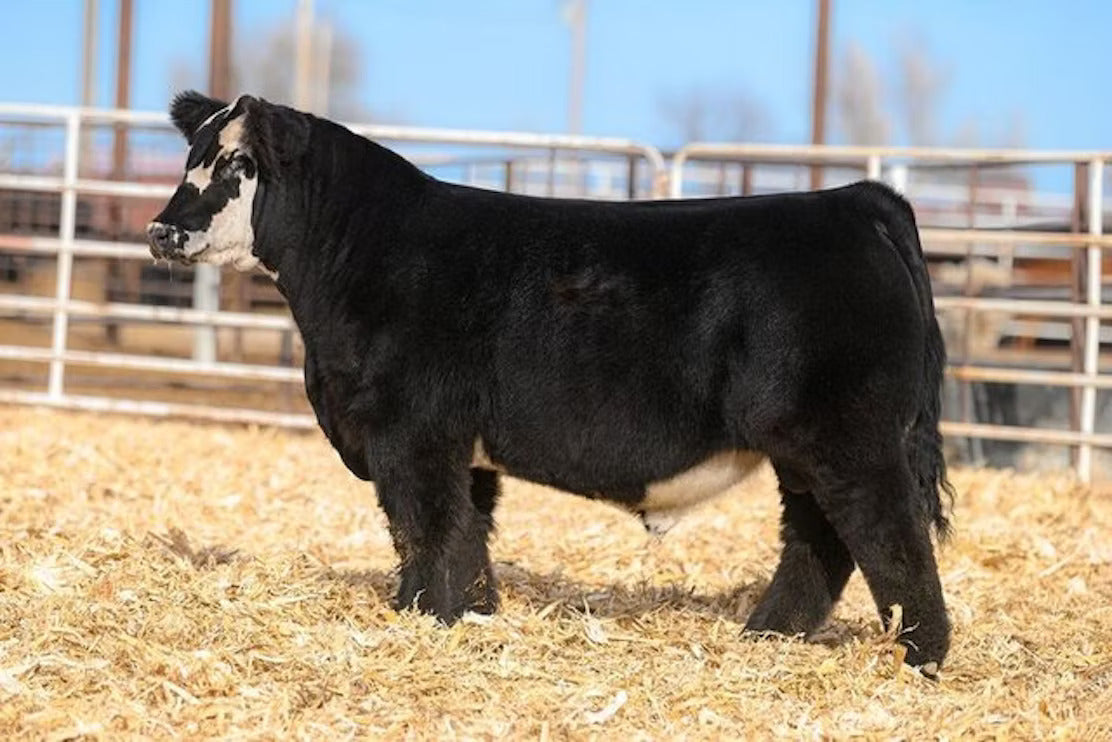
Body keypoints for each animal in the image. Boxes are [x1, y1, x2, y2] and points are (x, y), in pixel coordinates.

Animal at [148, 92, 954, 677]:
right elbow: (465, 533)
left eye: (238, 162)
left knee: (890, 534)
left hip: (850, 436)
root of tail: (853, 200)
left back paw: (920, 656)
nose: (162, 231)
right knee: (820, 540)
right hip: (806, 448)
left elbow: (421, 527)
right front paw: (468, 614)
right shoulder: (459, 445)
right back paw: (767, 636)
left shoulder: (409, 432)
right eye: (191, 155)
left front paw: (418, 616)